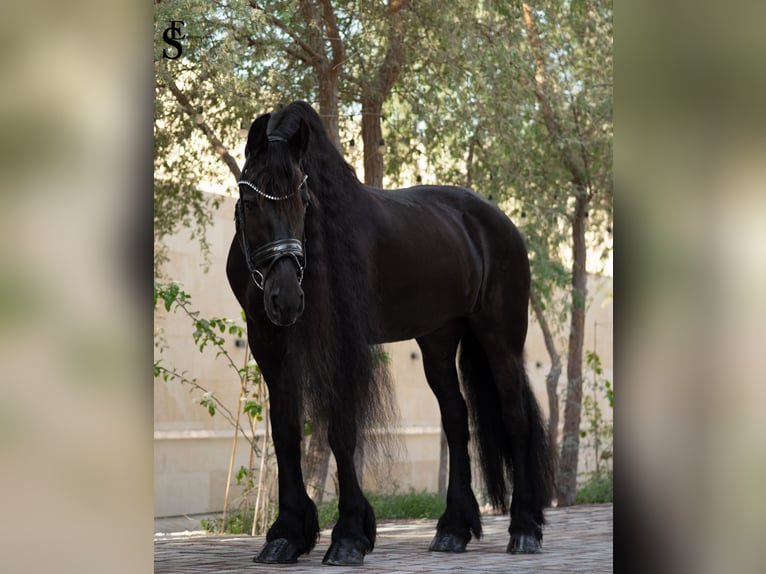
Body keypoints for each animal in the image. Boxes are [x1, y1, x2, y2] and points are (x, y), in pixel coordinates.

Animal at [226, 101, 554, 566]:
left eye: (305, 202)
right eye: (251, 201)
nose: (286, 298)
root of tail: (499, 222)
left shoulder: (342, 343)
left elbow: (341, 432)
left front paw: (349, 537)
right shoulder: (268, 342)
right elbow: (285, 431)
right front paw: (286, 535)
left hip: (500, 336)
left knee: (515, 416)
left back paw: (524, 529)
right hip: (438, 338)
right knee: (456, 418)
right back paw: (453, 529)